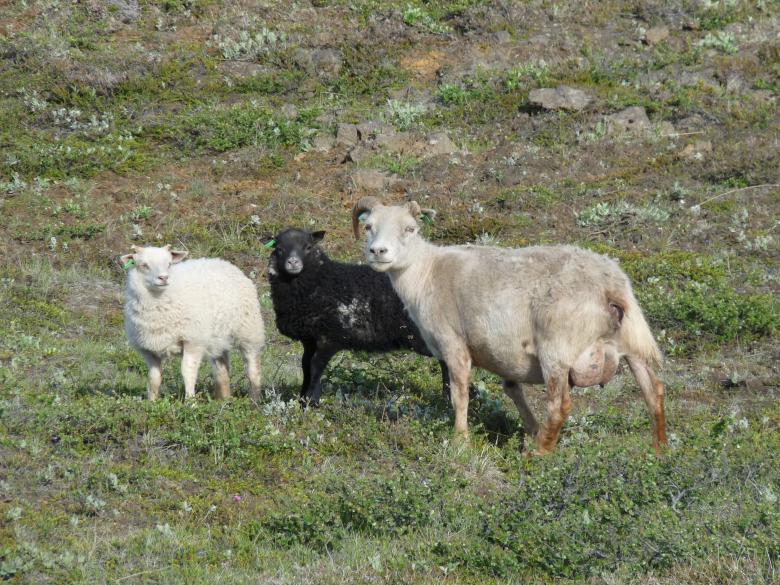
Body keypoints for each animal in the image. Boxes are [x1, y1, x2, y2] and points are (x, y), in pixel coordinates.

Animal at [121, 244, 265, 401]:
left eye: (169, 264)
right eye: (144, 265)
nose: (164, 278)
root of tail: (222, 262)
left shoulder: (193, 341)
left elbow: (187, 372)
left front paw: (190, 401)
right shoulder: (148, 349)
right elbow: (154, 377)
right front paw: (152, 401)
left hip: (249, 330)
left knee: (253, 367)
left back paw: (254, 399)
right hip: (217, 339)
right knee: (222, 369)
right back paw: (224, 400)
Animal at [266, 228, 452, 405]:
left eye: (308, 247)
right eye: (279, 249)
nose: (293, 262)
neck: (321, 280)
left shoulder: (330, 338)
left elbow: (315, 367)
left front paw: (310, 402)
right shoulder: (310, 339)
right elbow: (305, 366)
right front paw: (303, 400)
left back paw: (448, 398)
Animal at [352, 197, 667, 454]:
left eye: (409, 229)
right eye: (368, 227)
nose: (378, 251)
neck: (426, 273)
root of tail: (609, 286)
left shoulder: (453, 345)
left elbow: (459, 396)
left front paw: (460, 442)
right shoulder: (504, 355)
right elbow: (512, 390)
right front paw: (531, 430)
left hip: (556, 349)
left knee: (560, 404)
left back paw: (539, 454)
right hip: (633, 341)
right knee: (654, 392)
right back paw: (659, 451)